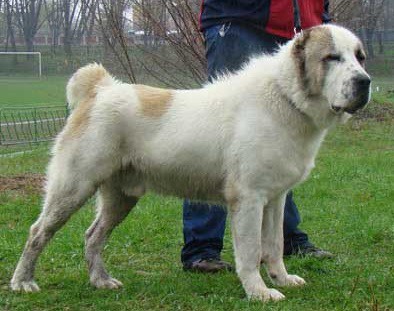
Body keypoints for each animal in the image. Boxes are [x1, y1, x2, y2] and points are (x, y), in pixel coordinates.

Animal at [11, 25, 370, 304]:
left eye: (360, 57)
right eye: (331, 58)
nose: (365, 82)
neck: (285, 97)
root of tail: (99, 89)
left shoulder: (275, 199)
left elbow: (274, 245)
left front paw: (281, 279)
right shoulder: (249, 198)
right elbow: (251, 250)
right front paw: (258, 292)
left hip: (121, 198)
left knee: (93, 236)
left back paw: (101, 280)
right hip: (73, 186)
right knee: (38, 232)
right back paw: (23, 282)